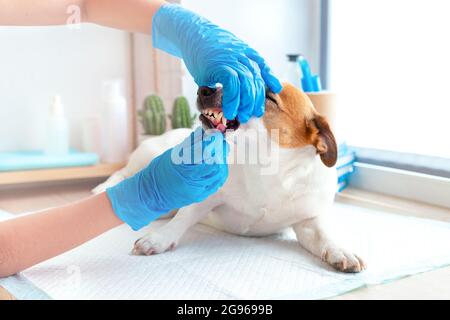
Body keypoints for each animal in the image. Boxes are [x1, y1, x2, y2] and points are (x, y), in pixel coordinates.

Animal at [94, 84, 366, 274]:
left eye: (269, 97)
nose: (206, 89)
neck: (267, 168)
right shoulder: (204, 199)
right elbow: (182, 220)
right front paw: (158, 239)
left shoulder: (307, 220)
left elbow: (324, 236)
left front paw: (341, 251)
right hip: (148, 160)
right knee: (125, 176)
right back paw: (104, 190)